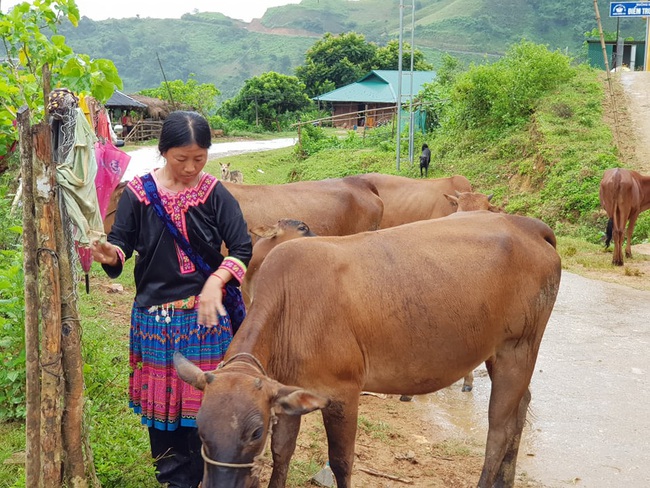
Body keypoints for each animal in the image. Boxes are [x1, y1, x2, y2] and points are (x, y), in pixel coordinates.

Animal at [175, 211, 560, 488]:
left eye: (254, 432)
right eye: (200, 429)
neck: (288, 302)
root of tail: (528, 225)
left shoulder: (342, 392)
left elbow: (341, 462)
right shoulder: (288, 391)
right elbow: (282, 453)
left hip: (518, 347)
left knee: (499, 429)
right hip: (502, 352)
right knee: (520, 409)